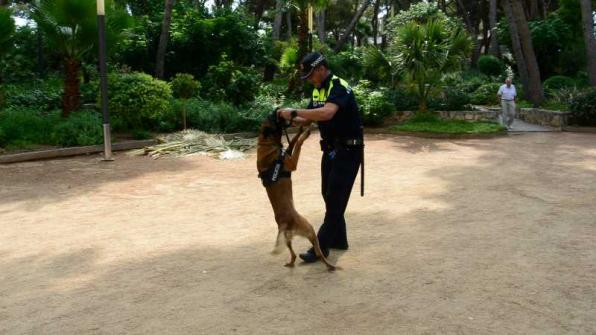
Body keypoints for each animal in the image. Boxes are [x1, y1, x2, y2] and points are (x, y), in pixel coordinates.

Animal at [258, 114, 338, 272]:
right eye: (272, 118)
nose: (277, 112)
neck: (265, 143)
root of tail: (285, 222)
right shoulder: (292, 163)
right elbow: (299, 143)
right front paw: (305, 133)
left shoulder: (288, 152)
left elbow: (293, 141)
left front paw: (301, 128)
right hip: (310, 229)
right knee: (319, 252)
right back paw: (329, 266)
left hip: (288, 240)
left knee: (293, 254)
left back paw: (291, 263)